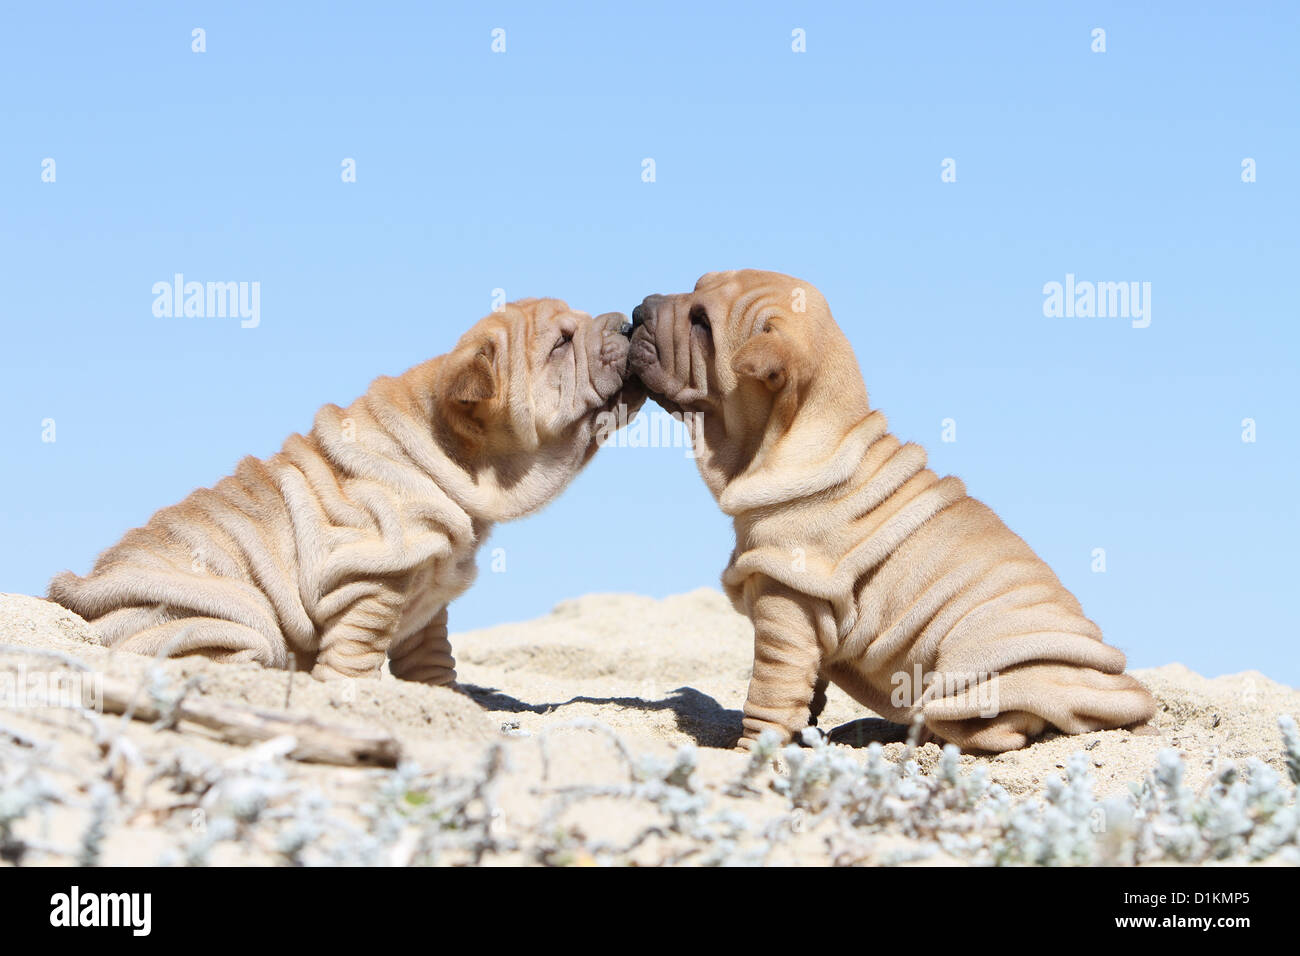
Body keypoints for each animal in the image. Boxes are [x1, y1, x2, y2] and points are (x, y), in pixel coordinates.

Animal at [52, 299, 644, 681]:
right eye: (561, 344)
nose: (627, 320)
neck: (445, 458)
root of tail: (72, 600)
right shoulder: (366, 579)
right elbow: (358, 654)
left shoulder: (431, 601)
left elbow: (432, 661)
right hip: (208, 617)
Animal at [629, 270, 1159, 754]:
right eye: (696, 284)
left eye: (702, 323)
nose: (637, 309)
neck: (799, 437)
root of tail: (1122, 694)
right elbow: (809, 690)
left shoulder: (787, 604)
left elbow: (770, 695)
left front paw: (748, 755)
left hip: (975, 668)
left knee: (996, 729)